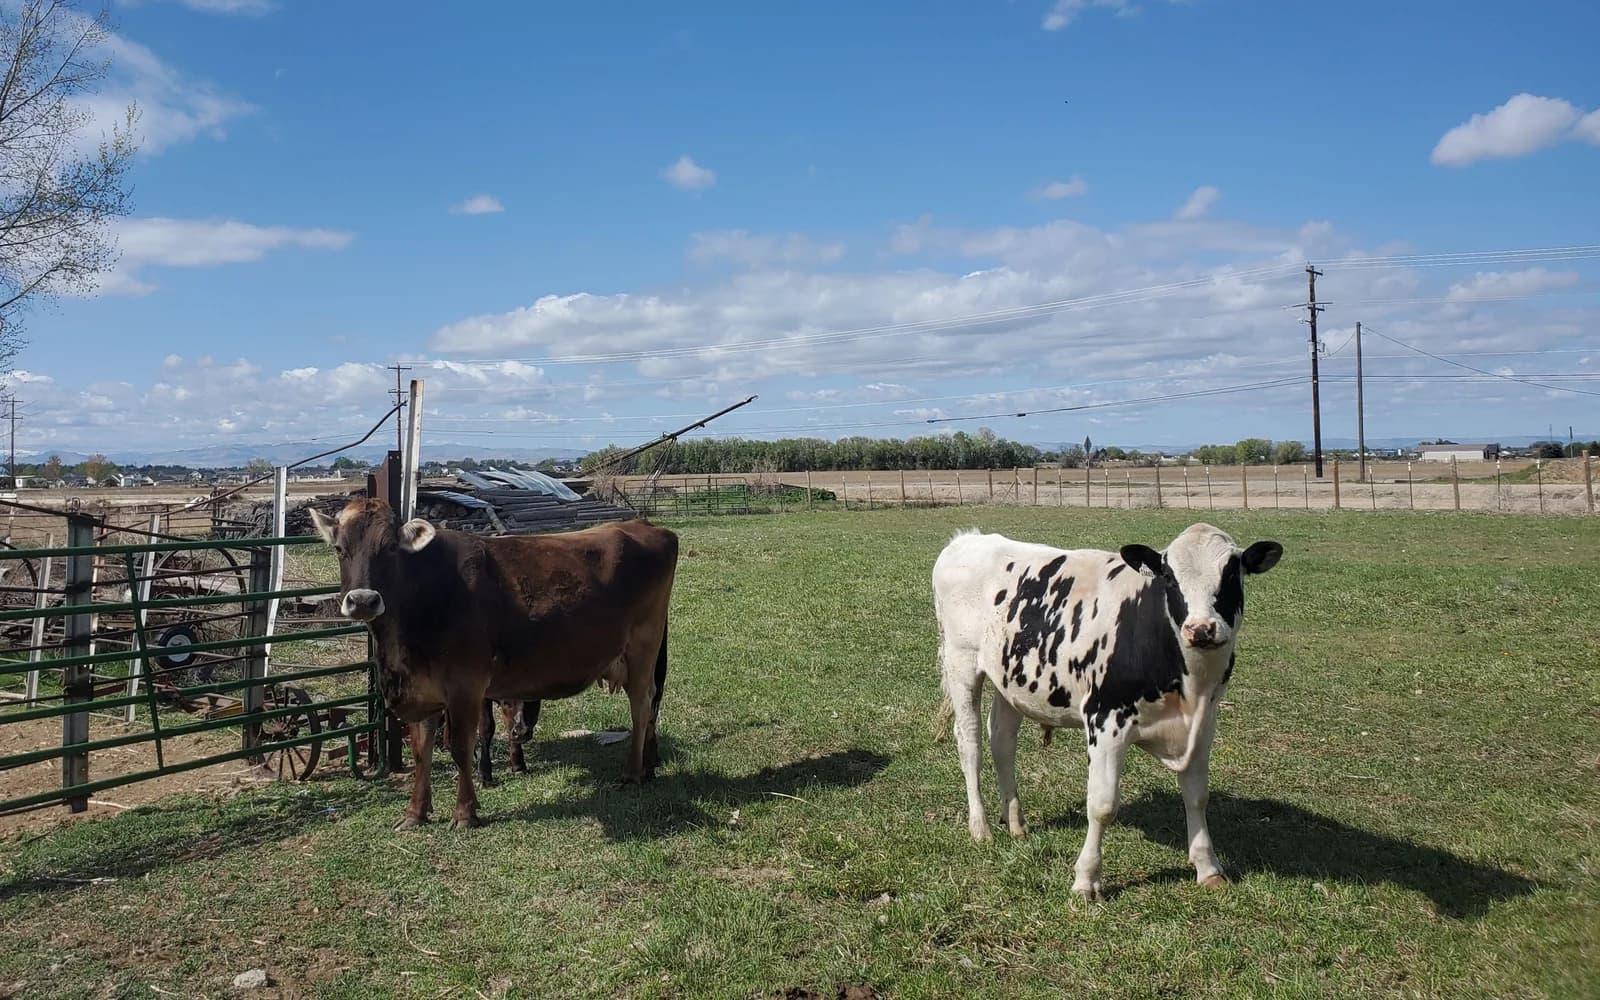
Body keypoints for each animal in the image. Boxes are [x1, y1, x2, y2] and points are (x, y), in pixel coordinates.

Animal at [310, 496, 678, 830]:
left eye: (389, 549)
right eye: (340, 549)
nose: (363, 600)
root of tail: (643, 526)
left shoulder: (466, 686)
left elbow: (461, 747)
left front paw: (465, 813)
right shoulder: (423, 691)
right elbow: (421, 751)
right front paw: (415, 812)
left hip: (642, 647)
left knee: (642, 706)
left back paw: (632, 772)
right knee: (651, 705)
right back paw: (649, 765)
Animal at [931, 522, 1282, 900]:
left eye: (1232, 573)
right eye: (1169, 578)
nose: (1201, 629)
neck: (1190, 686)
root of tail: (967, 539)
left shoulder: (1203, 725)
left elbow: (1197, 797)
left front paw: (1207, 867)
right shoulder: (1106, 720)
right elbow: (1102, 805)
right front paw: (1087, 879)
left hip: (1011, 680)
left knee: (1002, 743)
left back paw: (1015, 823)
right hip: (962, 664)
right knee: (971, 745)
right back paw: (980, 826)